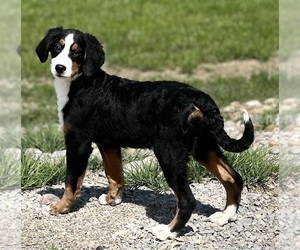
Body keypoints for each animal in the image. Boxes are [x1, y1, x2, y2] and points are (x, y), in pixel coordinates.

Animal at [36, 27, 254, 240]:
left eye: (77, 52)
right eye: (57, 47)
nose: (60, 68)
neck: (82, 84)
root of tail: (196, 96)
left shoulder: (78, 143)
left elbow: (71, 180)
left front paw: (61, 207)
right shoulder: (109, 143)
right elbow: (114, 173)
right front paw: (112, 198)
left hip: (169, 153)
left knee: (187, 200)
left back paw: (168, 231)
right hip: (203, 146)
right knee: (233, 178)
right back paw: (226, 215)